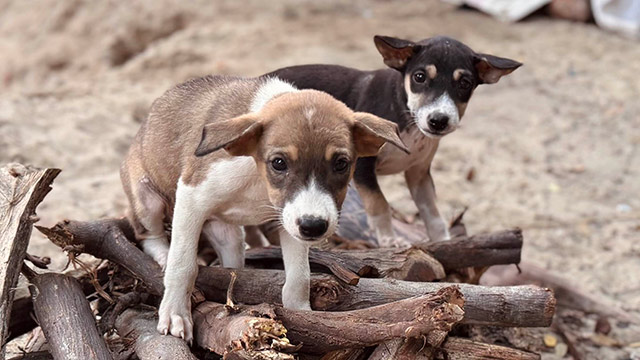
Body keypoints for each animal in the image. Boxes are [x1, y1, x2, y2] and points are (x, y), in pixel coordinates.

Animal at [120, 75, 408, 340]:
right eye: (279, 162)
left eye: (341, 164)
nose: (314, 227)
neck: (258, 178)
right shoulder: (192, 196)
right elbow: (183, 265)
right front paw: (175, 313)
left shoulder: (290, 219)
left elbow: (299, 276)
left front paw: (302, 313)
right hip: (148, 201)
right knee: (148, 235)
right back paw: (162, 254)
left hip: (229, 236)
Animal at [268, 35, 524, 246]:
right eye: (419, 77)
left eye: (465, 84)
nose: (438, 120)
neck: (405, 114)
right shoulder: (362, 168)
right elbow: (380, 204)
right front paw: (390, 241)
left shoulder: (419, 173)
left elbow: (432, 212)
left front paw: (444, 241)